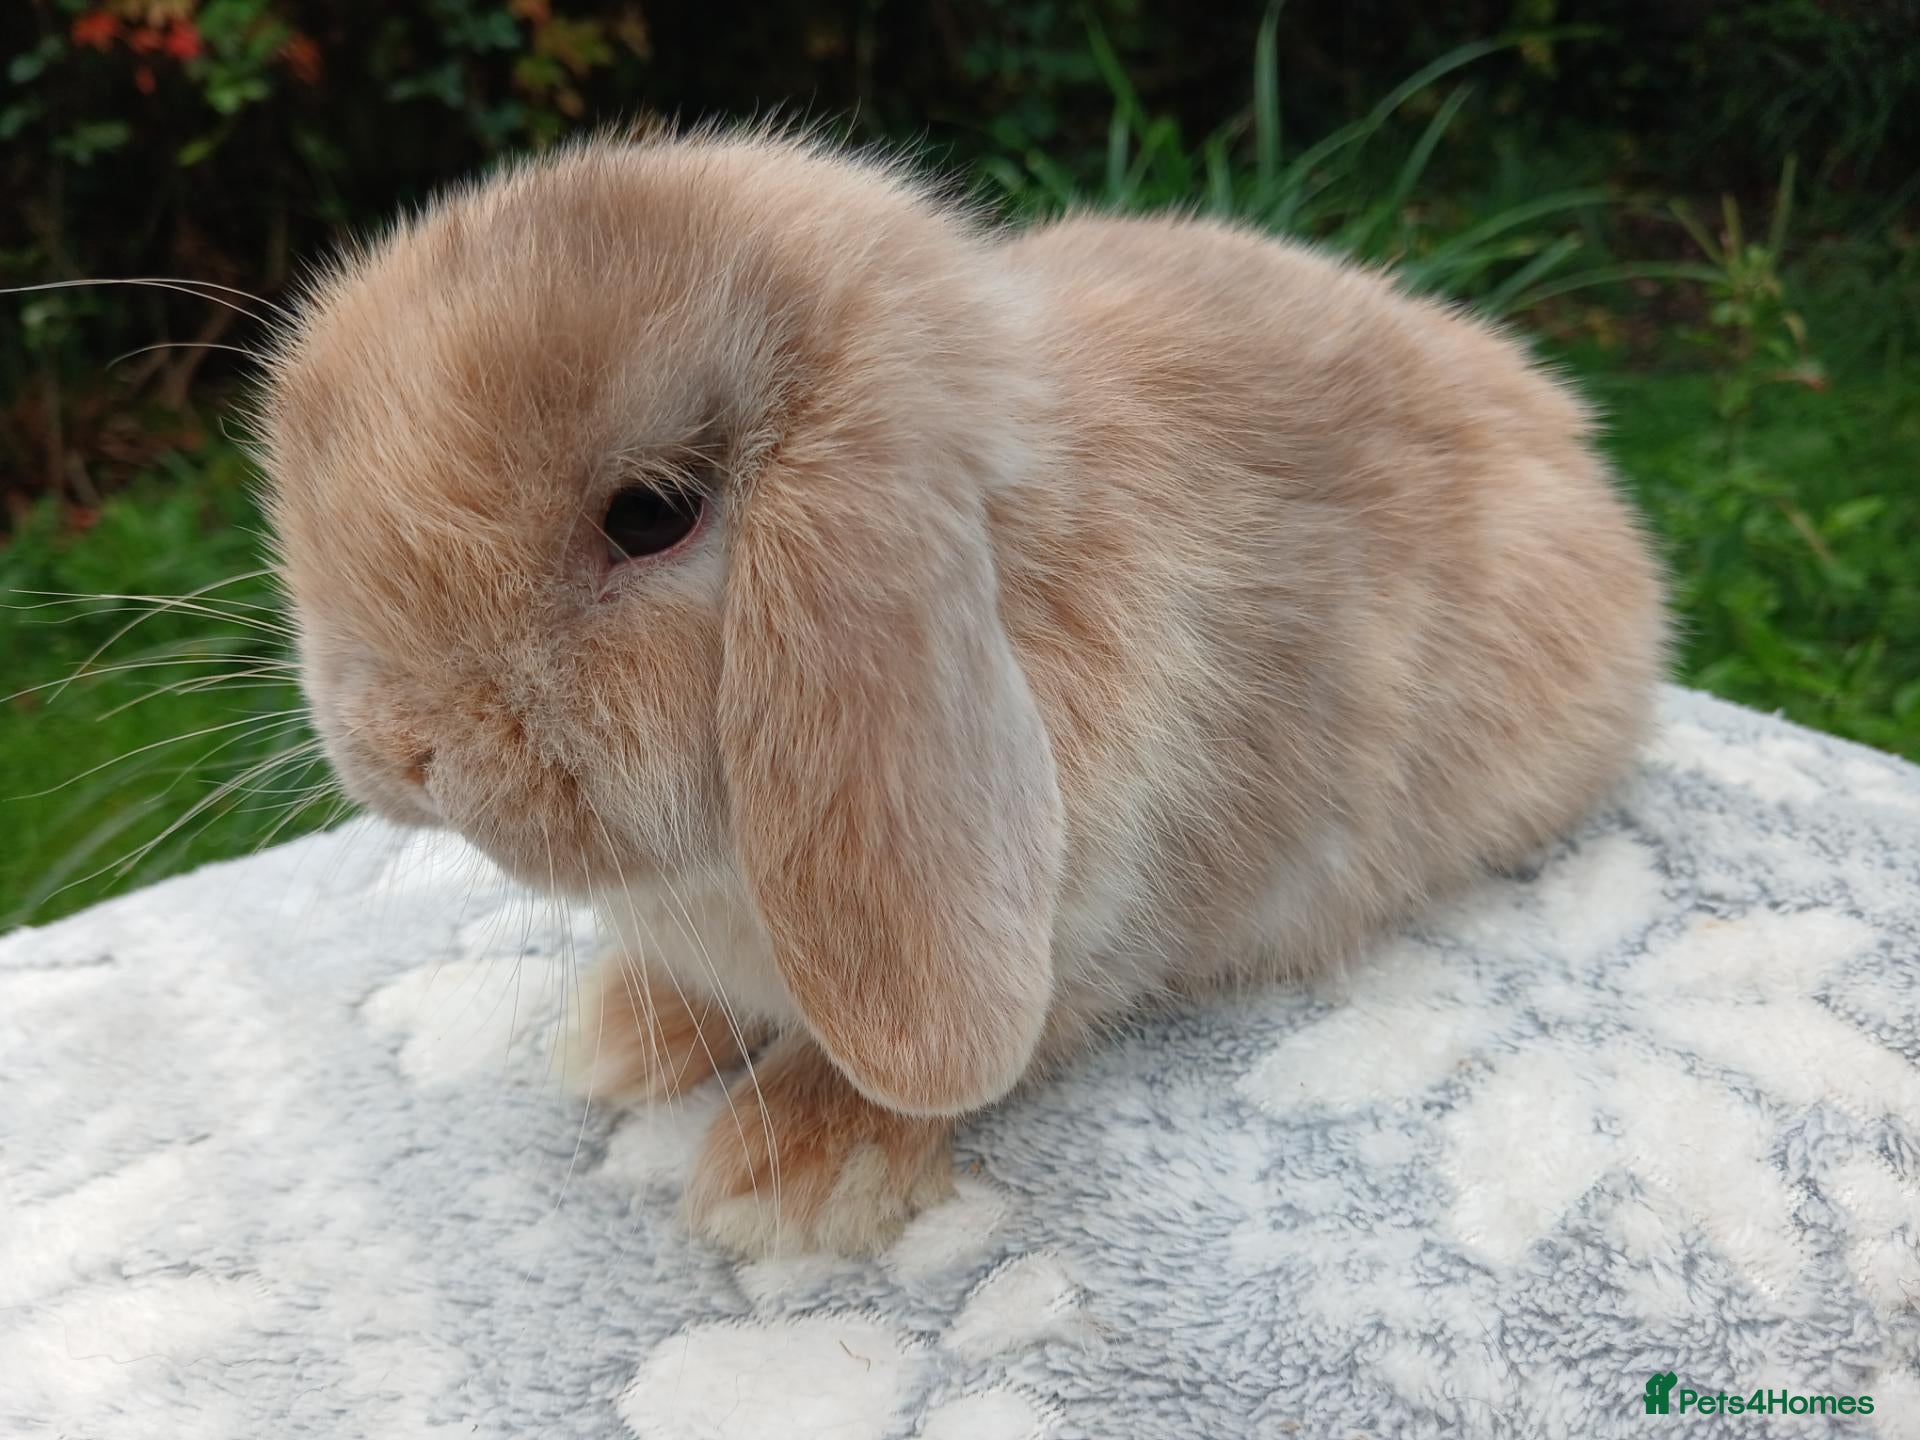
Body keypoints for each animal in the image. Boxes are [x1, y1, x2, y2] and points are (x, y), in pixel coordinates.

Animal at [261, 130, 1666, 1257]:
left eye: (650, 516)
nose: (398, 749)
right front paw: (623, 1039)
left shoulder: (1088, 935)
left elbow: (936, 1065)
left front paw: (788, 1183)